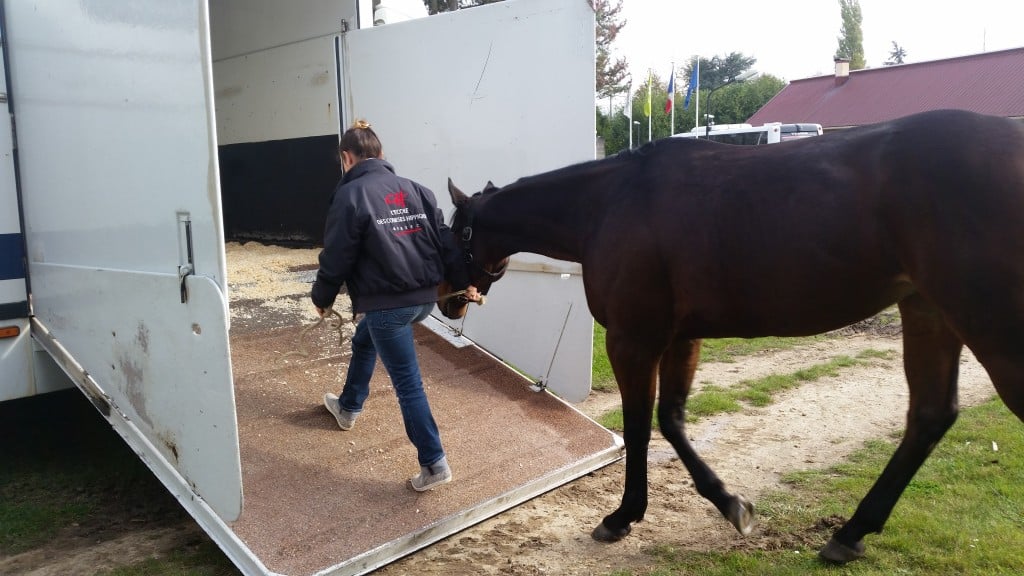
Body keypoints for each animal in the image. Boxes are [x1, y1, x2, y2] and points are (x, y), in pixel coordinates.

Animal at [438, 107, 1024, 561]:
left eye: (454, 232)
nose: (446, 299)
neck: (608, 204)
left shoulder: (632, 338)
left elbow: (640, 427)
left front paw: (624, 515)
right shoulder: (680, 337)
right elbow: (671, 420)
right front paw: (729, 504)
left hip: (992, 329)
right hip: (929, 312)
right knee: (929, 417)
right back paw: (851, 532)